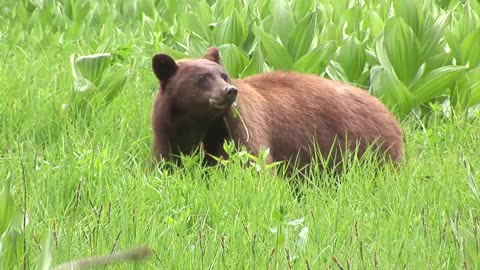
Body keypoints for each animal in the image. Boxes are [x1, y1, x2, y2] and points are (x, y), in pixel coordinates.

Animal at [151, 48, 404, 171]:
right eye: (203, 78)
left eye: (224, 75)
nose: (229, 91)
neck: (198, 123)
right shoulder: (167, 134)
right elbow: (166, 164)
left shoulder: (240, 127)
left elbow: (253, 164)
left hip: (369, 148)